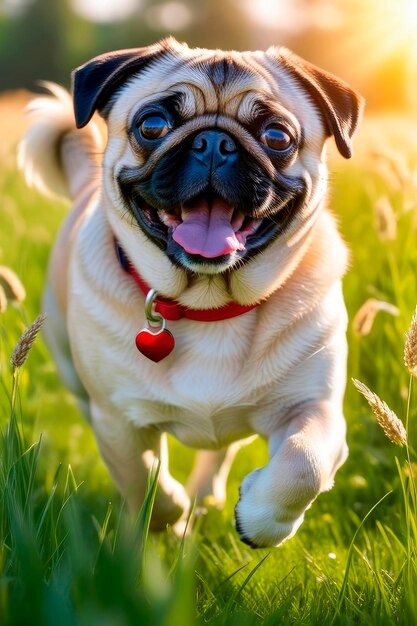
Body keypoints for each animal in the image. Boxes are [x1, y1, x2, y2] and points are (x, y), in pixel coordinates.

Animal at [19, 37, 362, 544]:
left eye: (277, 137)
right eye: (153, 126)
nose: (214, 142)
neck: (207, 305)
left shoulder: (314, 408)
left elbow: (303, 467)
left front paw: (260, 520)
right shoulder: (118, 419)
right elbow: (147, 483)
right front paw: (167, 518)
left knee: (222, 451)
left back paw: (211, 496)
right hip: (74, 376)